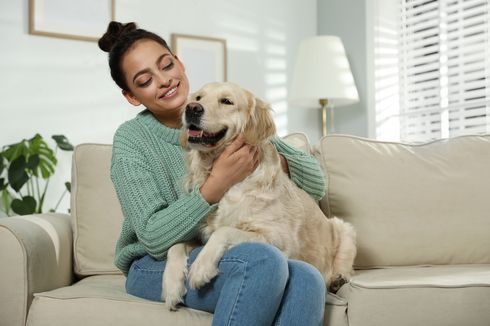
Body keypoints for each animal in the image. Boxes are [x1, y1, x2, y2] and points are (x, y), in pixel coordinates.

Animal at [163, 81, 358, 310]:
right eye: (199, 98)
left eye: (226, 101)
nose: (192, 108)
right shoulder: (199, 235)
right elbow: (174, 246)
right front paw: (171, 286)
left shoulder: (280, 239)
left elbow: (224, 231)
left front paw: (201, 268)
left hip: (344, 228)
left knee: (345, 267)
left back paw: (338, 279)